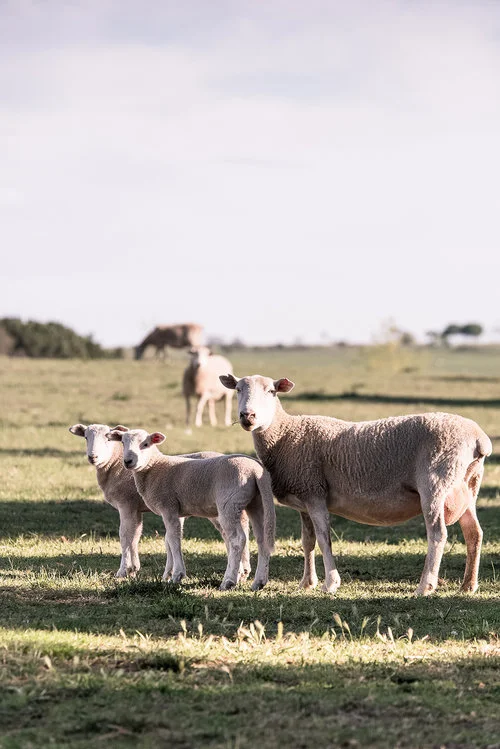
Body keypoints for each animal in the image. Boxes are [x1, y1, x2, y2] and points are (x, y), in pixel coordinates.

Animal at [69, 423, 251, 579]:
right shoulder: (136, 509)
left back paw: (238, 571)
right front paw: (133, 569)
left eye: (108, 439)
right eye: (86, 437)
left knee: (229, 534)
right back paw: (244, 570)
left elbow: (124, 535)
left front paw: (123, 570)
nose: (93, 457)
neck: (115, 466)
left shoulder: (126, 504)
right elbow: (135, 535)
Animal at [106, 427, 276, 591]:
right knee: (262, 539)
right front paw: (171, 574)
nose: (128, 461)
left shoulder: (168, 506)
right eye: (123, 442)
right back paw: (259, 582)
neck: (154, 467)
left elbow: (173, 540)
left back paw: (228, 582)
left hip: (230, 503)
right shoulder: (176, 511)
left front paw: (177, 575)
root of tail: (255, 470)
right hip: (256, 503)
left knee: (237, 540)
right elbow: (170, 539)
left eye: (146, 444)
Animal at [220, 373, 492, 596]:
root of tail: (479, 438)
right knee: (474, 533)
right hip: (467, 486)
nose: (247, 416)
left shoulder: (315, 494)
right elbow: (307, 542)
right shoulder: (304, 497)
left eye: (271, 391)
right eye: (238, 389)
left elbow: (324, 538)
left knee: (437, 534)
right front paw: (307, 583)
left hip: (435, 483)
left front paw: (331, 583)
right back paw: (468, 585)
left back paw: (425, 586)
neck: (285, 435)